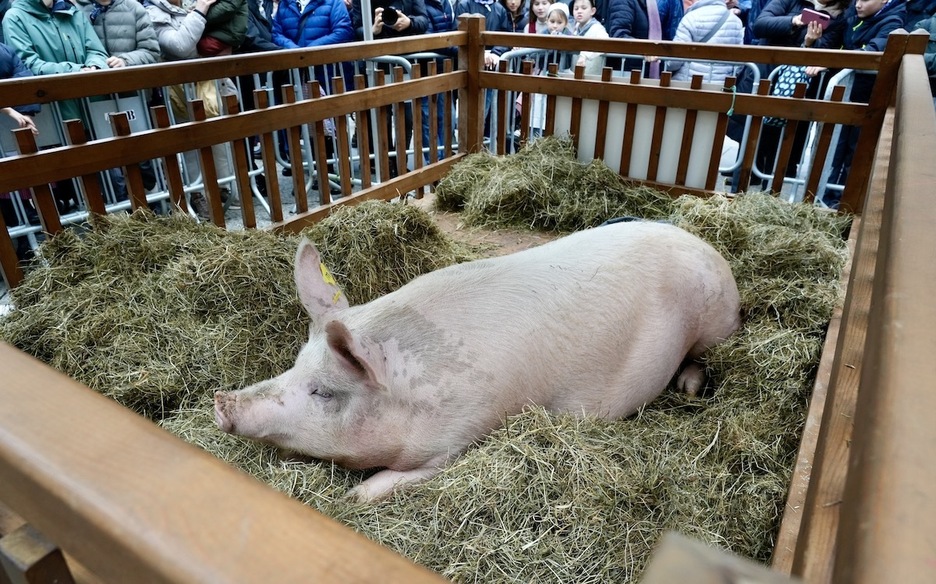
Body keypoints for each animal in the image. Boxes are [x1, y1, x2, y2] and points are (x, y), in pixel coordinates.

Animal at [214, 220, 740, 502]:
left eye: (323, 391)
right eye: (295, 363)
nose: (221, 401)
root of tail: (707, 245)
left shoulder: (462, 436)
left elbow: (396, 479)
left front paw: (353, 495)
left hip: (717, 323)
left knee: (702, 357)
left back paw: (689, 387)